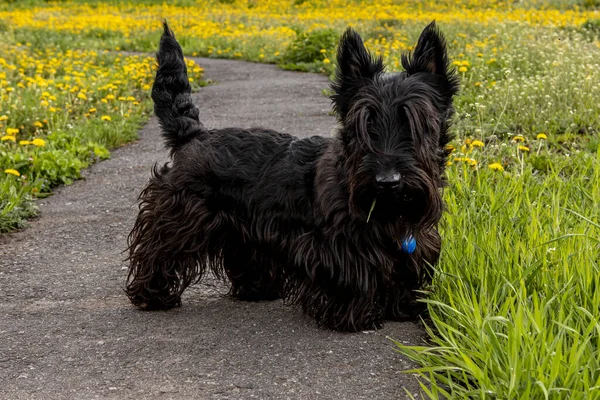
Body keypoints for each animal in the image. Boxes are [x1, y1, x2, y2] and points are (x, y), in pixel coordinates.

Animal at [124, 21, 458, 332]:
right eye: (364, 124)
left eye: (417, 122)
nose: (388, 182)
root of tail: (195, 135)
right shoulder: (339, 248)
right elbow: (353, 280)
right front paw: (354, 316)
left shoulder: (412, 244)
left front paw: (405, 307)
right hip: (179, 217)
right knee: (158, 251)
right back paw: (152, 295)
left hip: (240, 230)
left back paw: (257, 289)